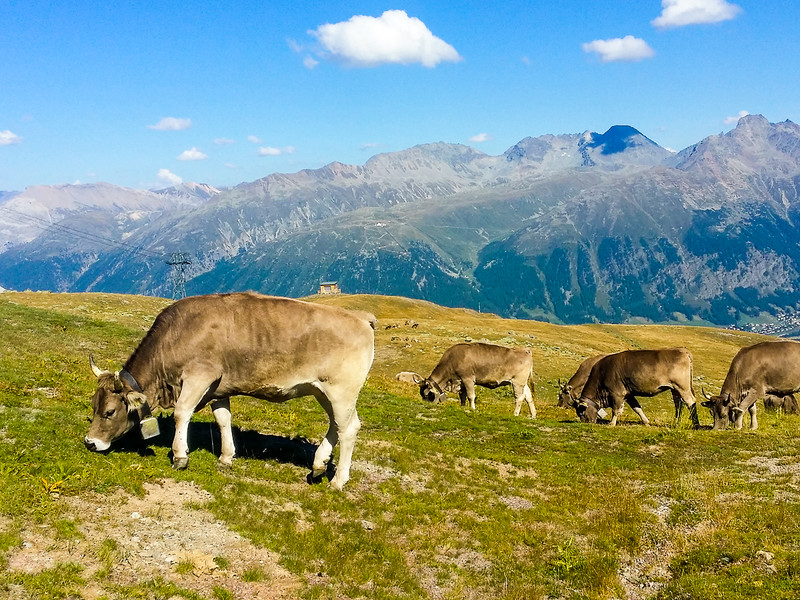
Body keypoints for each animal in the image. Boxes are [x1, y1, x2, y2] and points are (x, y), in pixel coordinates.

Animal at [84, 292, 376, 490]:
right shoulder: (217, 387)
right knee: (337, 424)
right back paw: (317, 466)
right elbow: (223, 419)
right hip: (323, 391)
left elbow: (181, 413)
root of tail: (362, 318)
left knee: (348, 428)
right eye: (93, 406)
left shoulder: (199, 376)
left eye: (110, 412)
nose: (90, 442)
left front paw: (179, 456)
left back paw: (337, 481)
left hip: (341, 390)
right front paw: (226, 457)